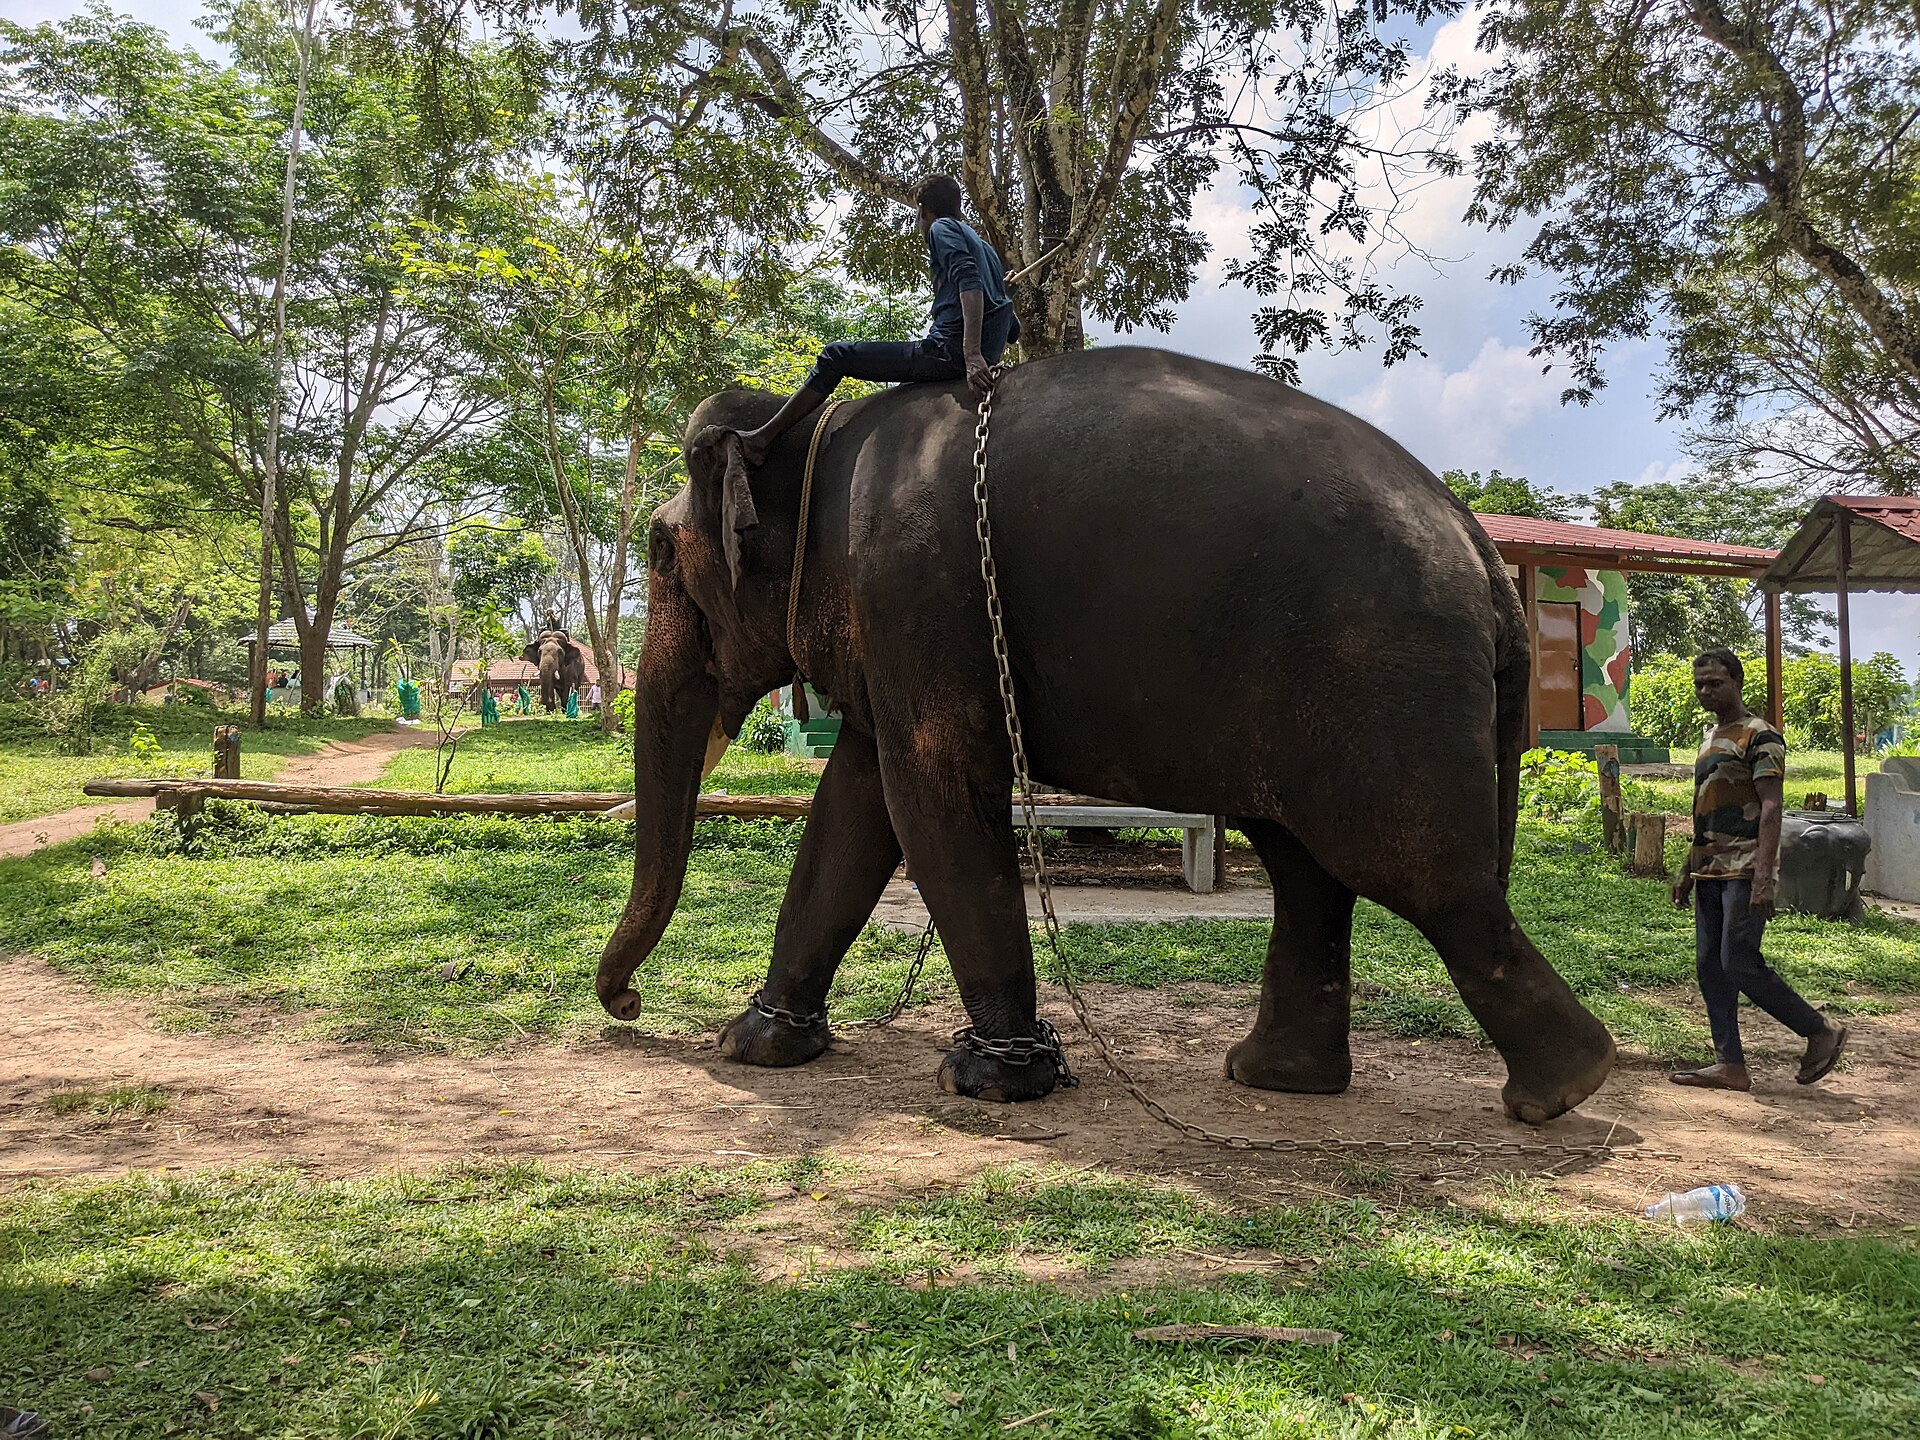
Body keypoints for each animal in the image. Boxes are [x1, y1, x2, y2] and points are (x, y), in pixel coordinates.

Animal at [597, 346, 1617, 1126]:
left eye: (658, 551)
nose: (629, 1006)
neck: (815, 437)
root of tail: (1483, 550)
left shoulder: (919, 590)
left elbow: (930, 799)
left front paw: (994, 1079)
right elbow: (852, 813)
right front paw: (760, 1043)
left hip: (1381, 675)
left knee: (1417, 873)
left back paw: (1563, 1089)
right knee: (1307, 869)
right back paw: (1278, 1079)